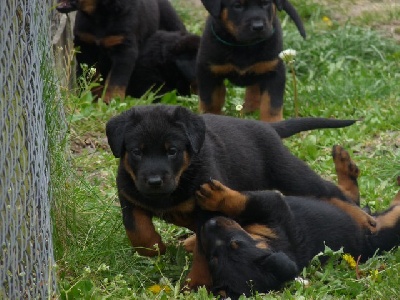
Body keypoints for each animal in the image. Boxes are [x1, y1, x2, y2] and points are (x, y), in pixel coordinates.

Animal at [56, 0, 186, 103]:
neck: (99, 15)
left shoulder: (124, 49)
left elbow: (116, 80)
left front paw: (111, 100)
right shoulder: (85, 46)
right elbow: (91, 76)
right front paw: (92, 97)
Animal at [106, 104, 376, 288]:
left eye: (172, 151)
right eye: (137, 152)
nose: (153, 182)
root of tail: (265, 126)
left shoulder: (207, 210)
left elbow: (204, 254)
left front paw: (195, 283)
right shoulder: (129, 196)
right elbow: (138, 231)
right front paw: (156, 248)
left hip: (288, 173)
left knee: (331, 192)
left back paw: (362, 216)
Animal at [198, 145, 400, 298]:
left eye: (235, 243)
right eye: (212, 259)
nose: (208, 224)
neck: (271, 243)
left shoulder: (273, 208)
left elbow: (244, 202)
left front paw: (215, 197)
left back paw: (345, 161)